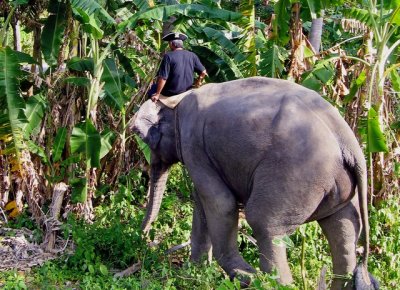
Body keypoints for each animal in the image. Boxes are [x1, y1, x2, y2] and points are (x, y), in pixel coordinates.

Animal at [131, 76, 378, 288]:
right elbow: (202, 203)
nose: (143, 239)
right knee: (343, 229)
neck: (178, 100)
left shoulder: (194, 145)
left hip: (296, 175)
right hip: (338, 186)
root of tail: (347, 139)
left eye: (144, 139)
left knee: (264, 223)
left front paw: (243, 276)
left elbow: (221, 203)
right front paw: (194, 273)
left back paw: (267, 281)